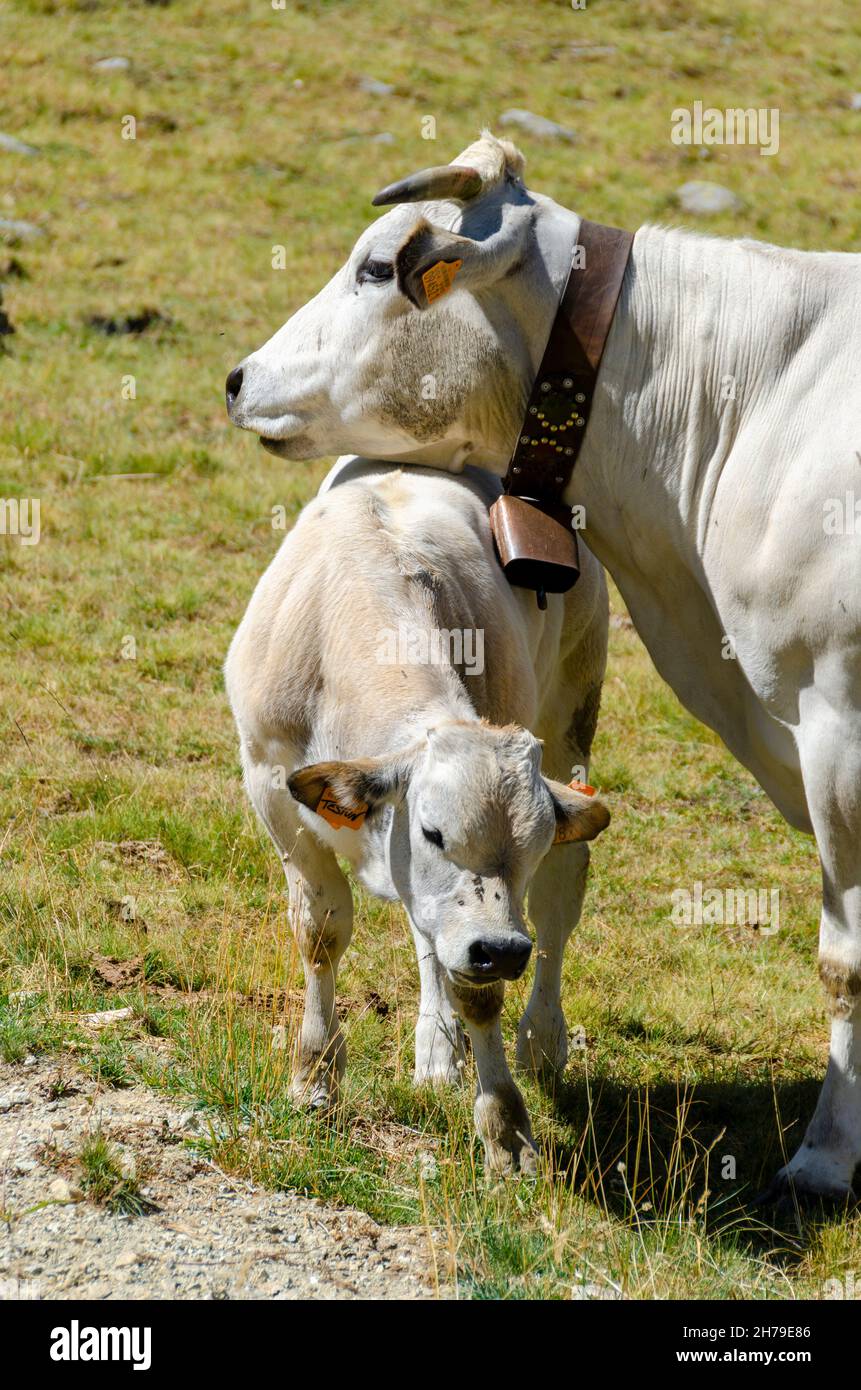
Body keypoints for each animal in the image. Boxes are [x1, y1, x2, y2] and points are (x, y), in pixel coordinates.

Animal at [225, 458, 609, 1173]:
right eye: (432, 830)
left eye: (533, 845)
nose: (501, 948)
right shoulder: (270, 785)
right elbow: (321, 931)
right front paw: (315, 1075)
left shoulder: (488, 924)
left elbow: (479, 989)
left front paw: (505, 1129)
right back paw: (438, 1052)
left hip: (575, 708)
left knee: (555, 911)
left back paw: (541, 1042)